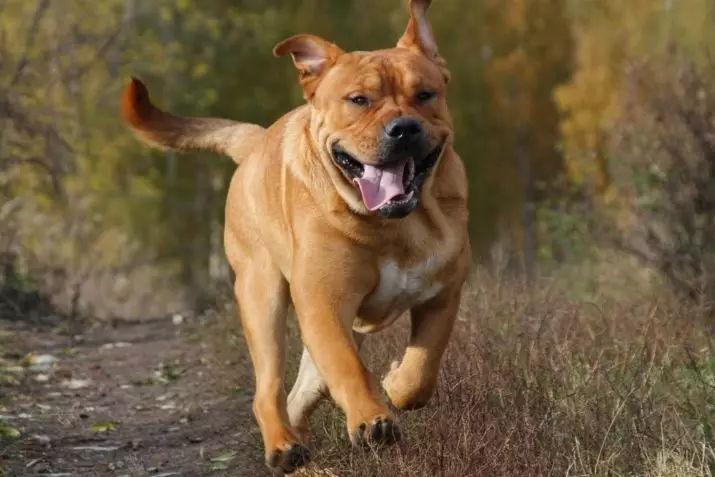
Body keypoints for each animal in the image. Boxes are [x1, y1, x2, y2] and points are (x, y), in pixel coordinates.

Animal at [121, 0, 470, 470]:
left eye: (425, 95)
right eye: (358, 100)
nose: (403, 127)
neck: (396, 223)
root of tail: (254, 141)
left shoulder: (442, 295)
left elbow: (422, 370)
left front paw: (396, 383)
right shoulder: (325, 303)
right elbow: (349, 368)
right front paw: (371, 418)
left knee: (302, 391)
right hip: (261, 295)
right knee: (268, 388)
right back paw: (283, 446)